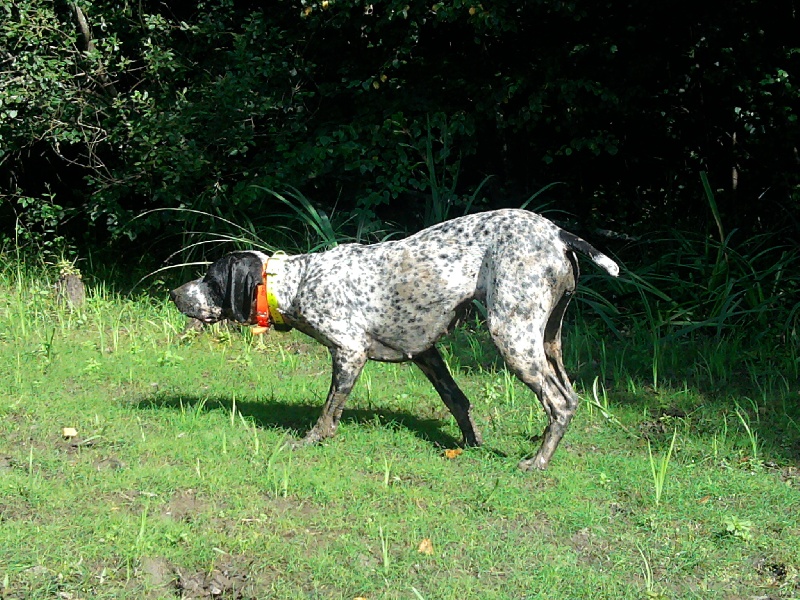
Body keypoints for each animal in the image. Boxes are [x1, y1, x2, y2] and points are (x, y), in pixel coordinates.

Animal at [170, 209, 620, 472]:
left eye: (210, 279)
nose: (175, 294)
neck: (298, 282)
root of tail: (558, 233)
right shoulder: (426, 353)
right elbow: (458, 401)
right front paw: (471, 444)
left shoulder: (348, 354)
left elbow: (328, 411)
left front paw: (312, 440)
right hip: (546, 342)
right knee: (570, 397)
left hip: (511, 336)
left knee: (559, 402)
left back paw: (537, 462)